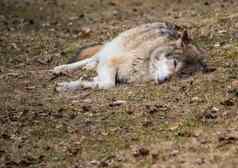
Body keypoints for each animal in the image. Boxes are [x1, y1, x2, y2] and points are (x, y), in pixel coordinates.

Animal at [51, 22, 207, 92]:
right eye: (174, 63)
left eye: (182, 75)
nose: (166, 80)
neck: (145, 65)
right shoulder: (111, 62)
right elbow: (108, 84)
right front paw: (69, 84)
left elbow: (102, 83)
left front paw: (79, 84)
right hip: (113, 47)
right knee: (92, 57)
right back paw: (61, 68)